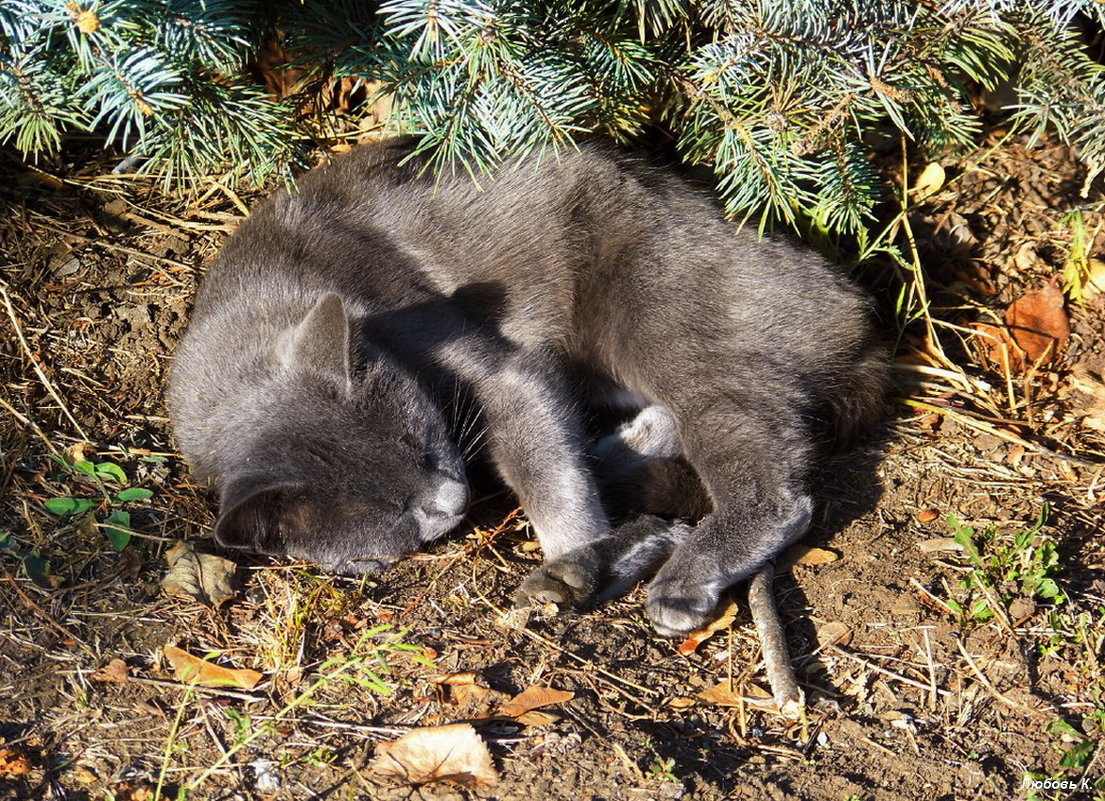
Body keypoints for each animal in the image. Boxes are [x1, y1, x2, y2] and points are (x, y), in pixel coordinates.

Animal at [165, 139, 888, 636]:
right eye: (391, 512)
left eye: (420, 445)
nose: (451, 500)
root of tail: (854, 304)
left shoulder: (494, 362)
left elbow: (547, 476)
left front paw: (587, 562)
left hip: (658, 316)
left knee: (769, 480)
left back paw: (681, 575)